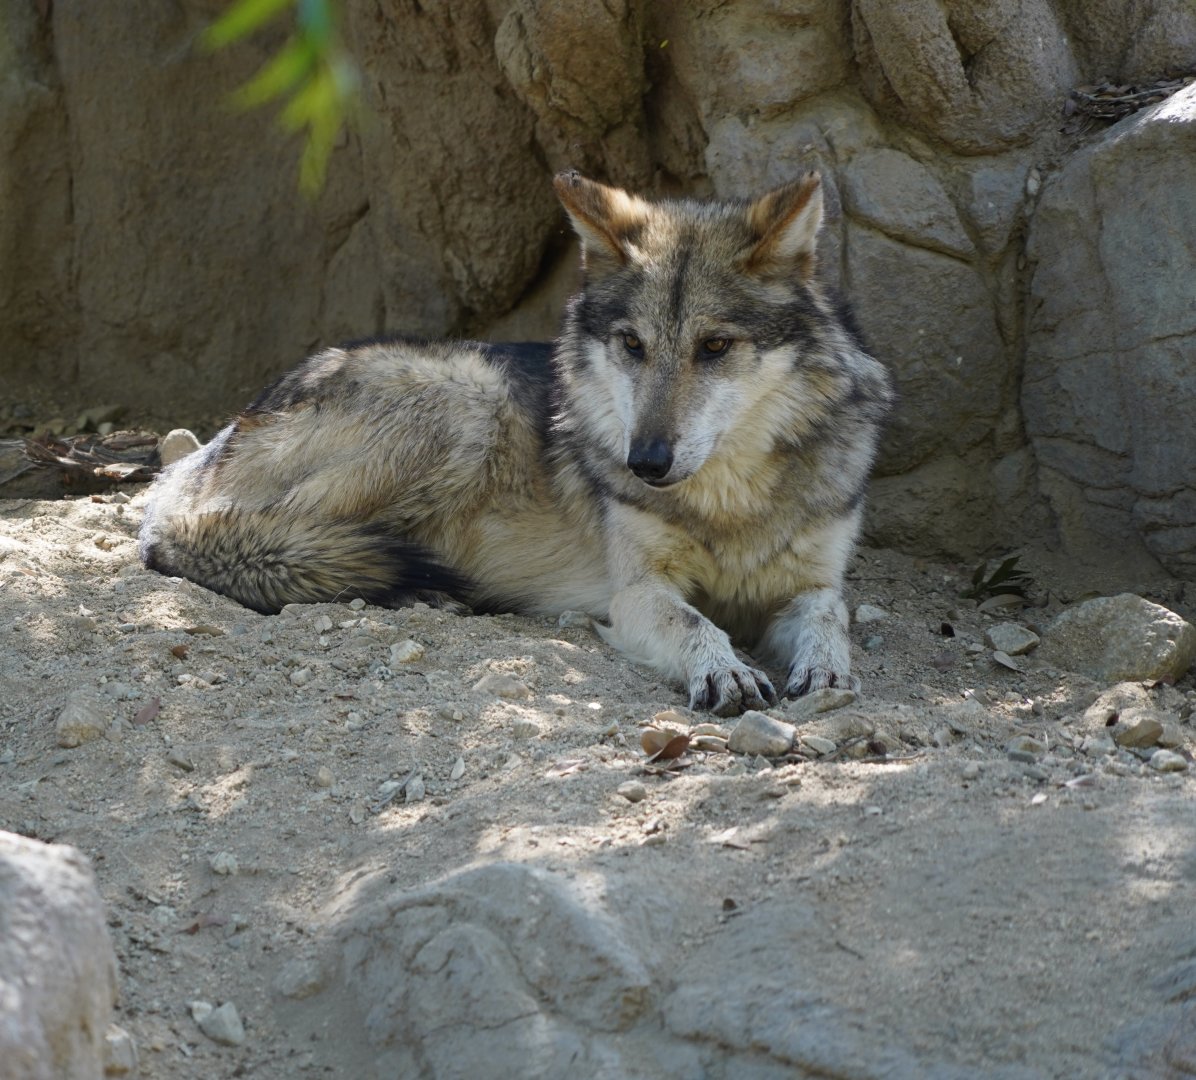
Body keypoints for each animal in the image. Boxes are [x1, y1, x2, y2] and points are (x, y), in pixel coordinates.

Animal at [139, 170, 894, 715]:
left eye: (714, 347)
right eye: (632, 345)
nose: (644, 463)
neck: (730, 503)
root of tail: (207, 452)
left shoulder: (811, 581)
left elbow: (831, 616)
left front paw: (826, 671)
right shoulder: (636, 592)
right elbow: (695, 624)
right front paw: (726, 671)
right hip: (467, 404)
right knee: (279, 543)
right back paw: (419, 589)